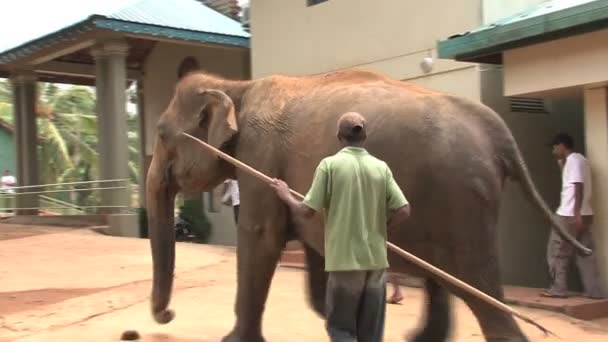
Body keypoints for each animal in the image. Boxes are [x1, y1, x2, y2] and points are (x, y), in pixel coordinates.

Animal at [145, 69, 592, 342]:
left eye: (162, 134)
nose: (168, 317)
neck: (237, 85)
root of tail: (497, 130)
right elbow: (314, 245)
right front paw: (333, 315)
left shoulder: (259, 158)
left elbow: (260, 238)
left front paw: (233, 339)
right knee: (445, 276)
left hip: (462, 199)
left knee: (476, 284)